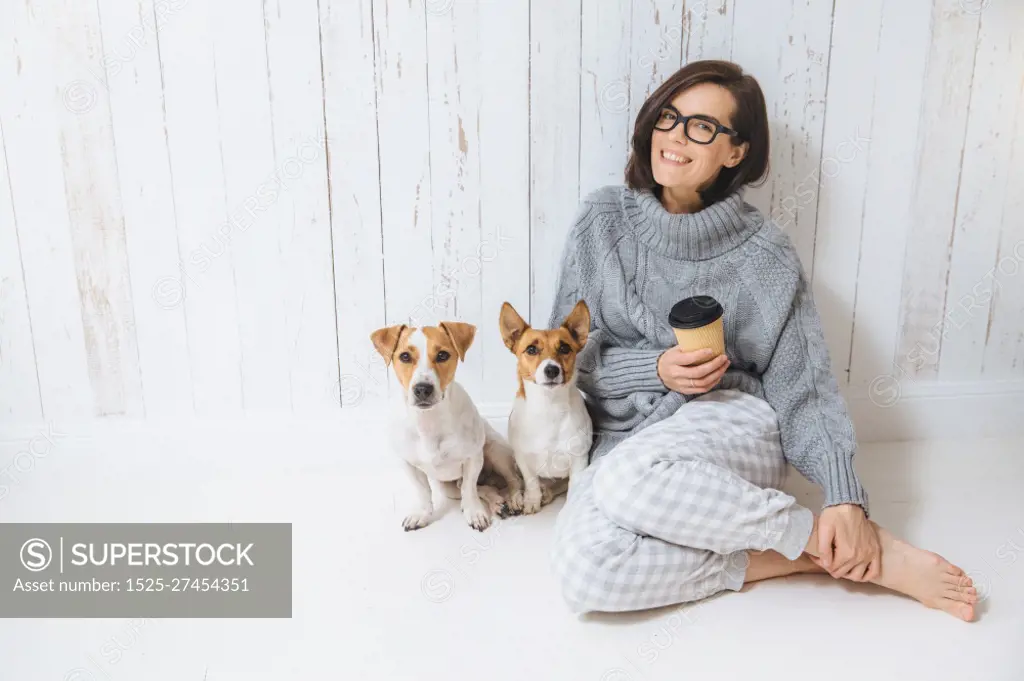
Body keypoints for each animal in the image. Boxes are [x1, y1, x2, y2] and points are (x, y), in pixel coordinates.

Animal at [370, 323, 524, 532]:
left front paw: (474, 513)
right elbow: (423, 492)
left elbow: (469, 488)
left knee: (512, 480)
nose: (422, 389)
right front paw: (422, 514)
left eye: (443, 355)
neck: (429, 420)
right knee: (484, 488)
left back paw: (514, 499)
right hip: (447, 487)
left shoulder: (473, 458)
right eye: (405, 356)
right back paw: (497, 503)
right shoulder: (409, 465)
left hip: (495, 450)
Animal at [497, 301, 593, 512]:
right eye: (531, 350)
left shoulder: (579, 459)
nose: (551, 370)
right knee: (516, 481)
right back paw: (517, 498)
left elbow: (573, 485)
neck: (549, 405)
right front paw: (531, 501)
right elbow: (531, 482)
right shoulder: (523, 458)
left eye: (565, 348)